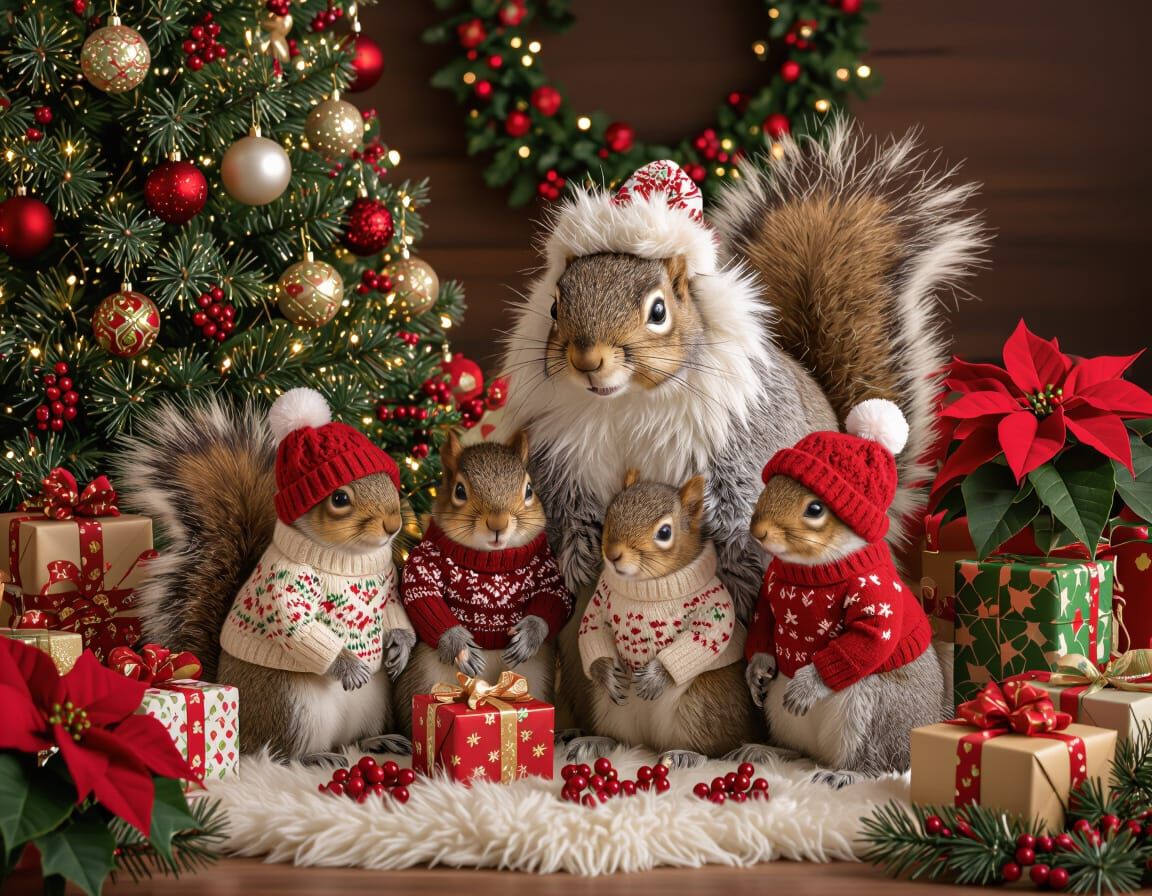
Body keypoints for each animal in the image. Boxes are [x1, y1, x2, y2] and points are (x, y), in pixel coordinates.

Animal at [115, 388, 416, 762]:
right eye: (339, 498)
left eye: (390, 481)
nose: (393, 524)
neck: (347, 558)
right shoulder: (284, 584)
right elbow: (296, 624)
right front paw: (346, 664)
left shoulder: (386, 582)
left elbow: (393, 610)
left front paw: (401, 646)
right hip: (291, 708)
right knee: (278, 751)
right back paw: (315, 756)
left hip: (374, 704)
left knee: (354, 739)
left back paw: (381, 740)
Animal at [393, 430, 573, 734]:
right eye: (459, 491)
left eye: (529, 490)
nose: (498, 523)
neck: (491, 560)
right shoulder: (425, 560)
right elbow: (421, 593)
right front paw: (461, 647)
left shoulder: (546, 566)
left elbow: (555, 598)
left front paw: (529, 636)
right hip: (426, 675)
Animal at [495, 122, 985, 732]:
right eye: (555, 307)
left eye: (659, 310)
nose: (587, 361)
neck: (624, 404)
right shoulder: (560, 454)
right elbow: (559, 510)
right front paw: (578, 555)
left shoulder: (744, 441)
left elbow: (740, 511)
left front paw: (730, 566)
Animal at [571, 470, 763, 768]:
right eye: (609, 512)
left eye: (664, 532)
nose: (613, 554)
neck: (647, 587)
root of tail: (651, 743)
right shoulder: (600, 602)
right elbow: (592, 632)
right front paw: (606, 673)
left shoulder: (713, 606)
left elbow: (701, 638)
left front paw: (655, 677)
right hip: (607, 708)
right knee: (622, 739)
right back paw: (595, 742)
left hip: (702, 704)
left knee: (716, 749)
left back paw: (686, 755)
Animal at [741, 399, 945, 787]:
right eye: (769, 484)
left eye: (816, 509)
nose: (757, 532)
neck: (810, 568)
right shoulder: (770, 593)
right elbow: (764, 625)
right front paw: (757, 668)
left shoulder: (875, 594)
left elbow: (867, 638)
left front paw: (808, 686)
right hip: (781, 715)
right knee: (802, 751)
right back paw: (768, 752)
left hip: (873, 711)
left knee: (880, 762)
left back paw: (845, 774)